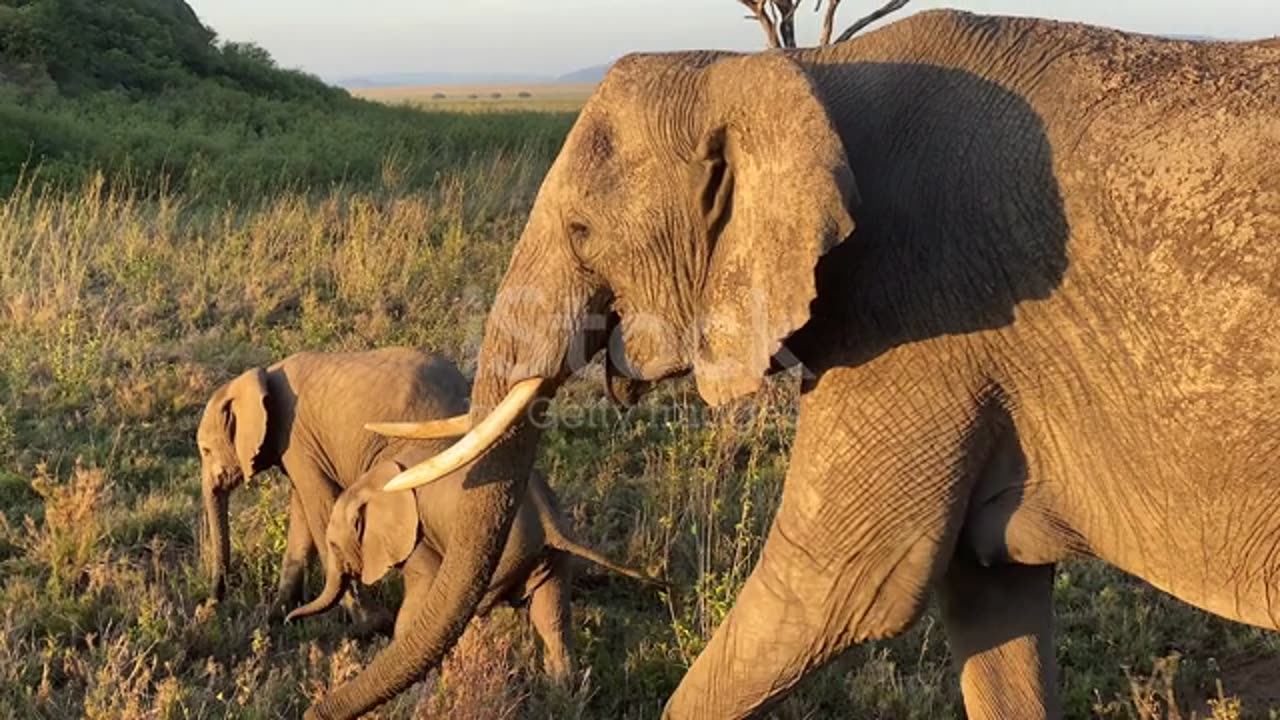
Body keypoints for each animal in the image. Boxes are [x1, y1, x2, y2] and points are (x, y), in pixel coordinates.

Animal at [192, 348, 468, 617]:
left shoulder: (295, 438)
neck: (260, 376)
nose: (208, 607)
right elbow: (301, 518)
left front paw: (367, 622)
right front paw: (277, 616)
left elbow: (320, 508)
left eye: (206, 451)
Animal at [288, 453, 660, 676]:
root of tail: (548, 521)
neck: (370, 484)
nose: (291, 619)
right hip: (548, 557)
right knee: (551, 616)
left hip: (507, 550)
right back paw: (561, 693)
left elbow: (424, 584)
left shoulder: (416, 535)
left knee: (484, 605)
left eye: (333, 545)